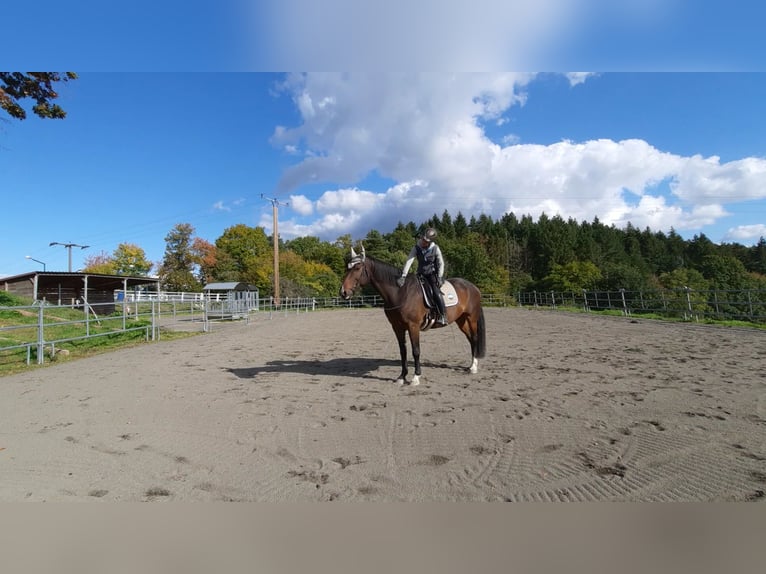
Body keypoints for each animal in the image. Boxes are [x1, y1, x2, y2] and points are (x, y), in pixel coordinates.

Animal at [339, 244, 486, 386]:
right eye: (347, 268)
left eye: (357, 268)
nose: (343, 292)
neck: (400, 292)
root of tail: (472, 286)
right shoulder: (397, 327)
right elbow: (403, 351)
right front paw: (402, 377)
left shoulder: (413, 326)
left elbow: (416, 350)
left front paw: (416, 377)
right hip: (461, 320)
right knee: (470, 338)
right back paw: (471, 364)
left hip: (471, 318)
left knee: (474, 337)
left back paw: (473, 367)